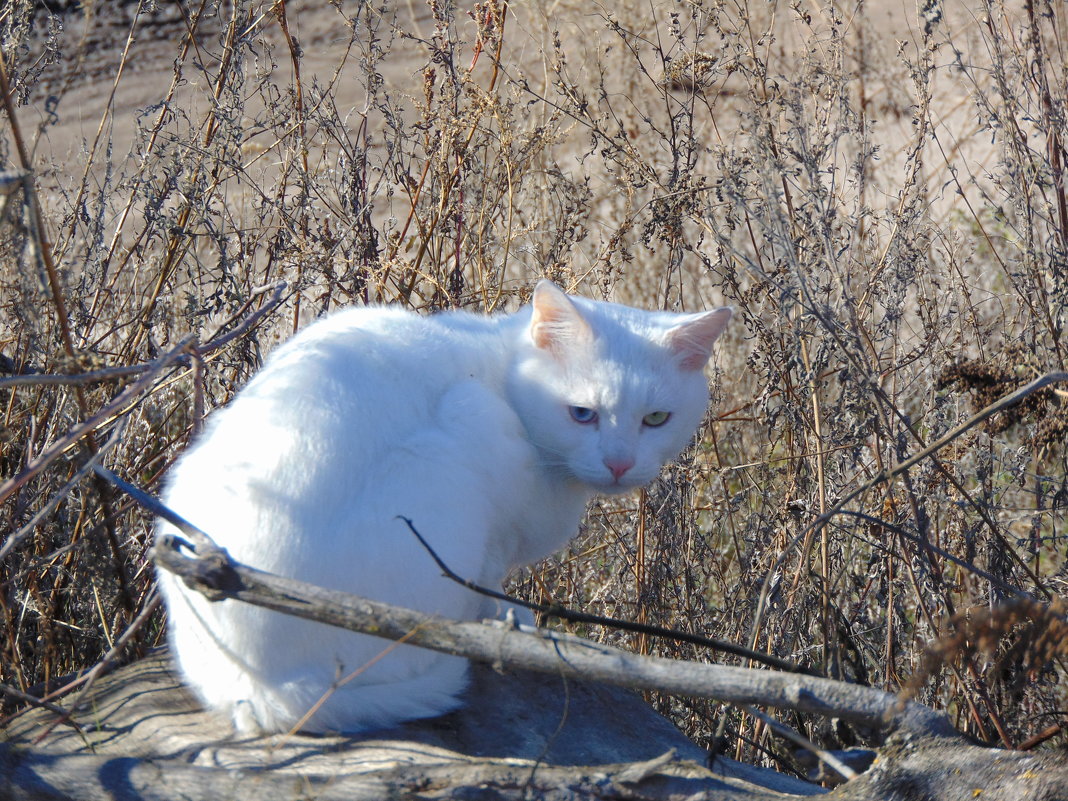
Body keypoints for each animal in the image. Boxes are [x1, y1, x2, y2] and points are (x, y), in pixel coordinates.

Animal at [154, 279, 730, 734]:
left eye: (656, 419)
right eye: (582, 413)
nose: (618, 463)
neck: (502, 372)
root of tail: (260, 690)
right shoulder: (493, 509)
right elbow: (493, 584)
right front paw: (511, 622)